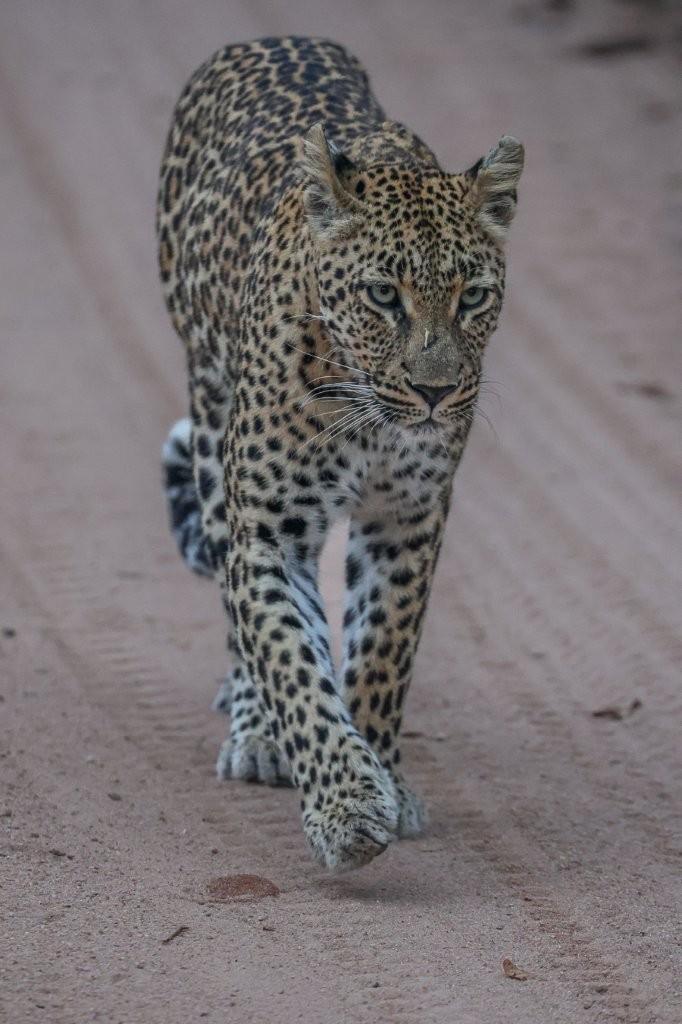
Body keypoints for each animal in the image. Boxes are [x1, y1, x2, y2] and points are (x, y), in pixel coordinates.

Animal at [157, 36, 523, 871]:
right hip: (211, 426)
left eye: (473, 297)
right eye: (384, 296)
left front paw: (383, 772)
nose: (436, 393)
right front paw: (346, 804)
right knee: (242, 622)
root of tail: (268, 40)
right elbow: (291, 659)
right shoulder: (269, 530)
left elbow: (384, 648)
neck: (368, 417)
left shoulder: (409, 521)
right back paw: (256, 732)